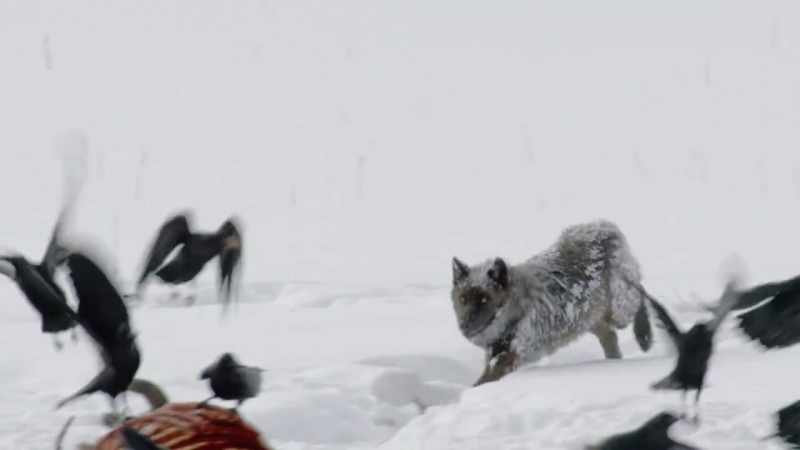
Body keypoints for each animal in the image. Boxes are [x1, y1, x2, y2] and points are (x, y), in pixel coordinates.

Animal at [451, 219, 653, 386]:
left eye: (485, 299)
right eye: (462, 299)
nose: (465, 327)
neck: (517, 311)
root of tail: (604, 226)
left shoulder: (511, 355)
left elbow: (482, 383)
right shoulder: (497, 356)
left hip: (619, 311)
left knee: (640, 295)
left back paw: (644, 337)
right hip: (586, 320)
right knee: (609, 335)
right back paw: (613, 361)